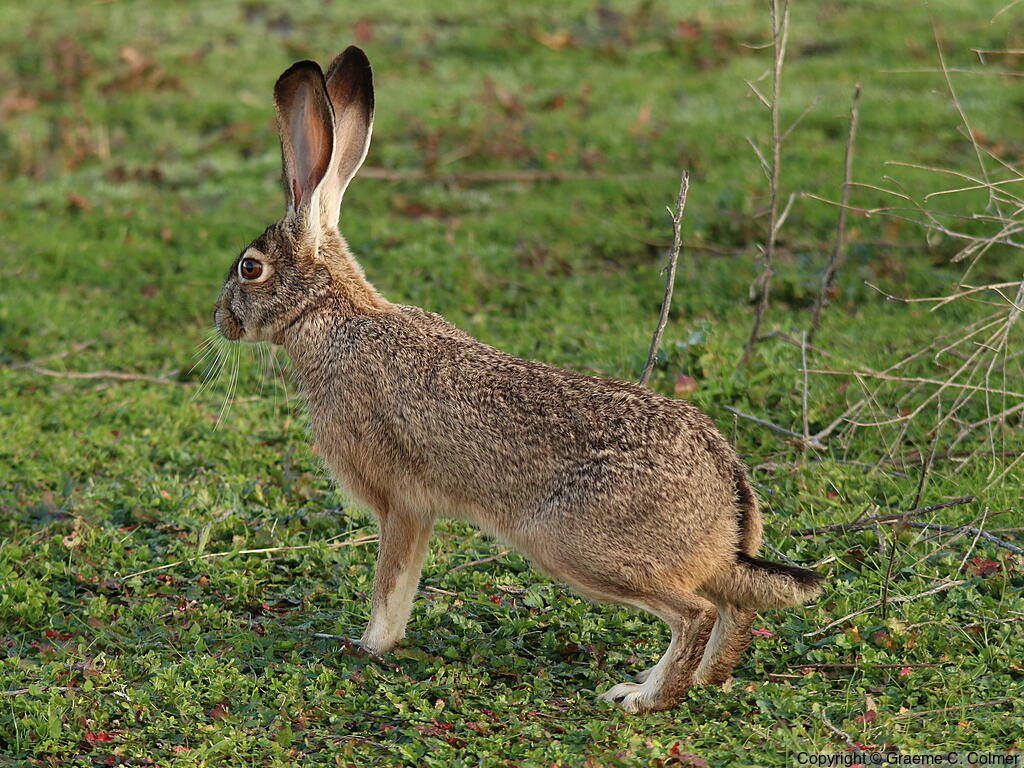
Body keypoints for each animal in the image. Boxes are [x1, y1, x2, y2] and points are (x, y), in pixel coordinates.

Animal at [213, 46, 823, 714]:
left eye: (250, 268)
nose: (220, 321)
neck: (331, 314)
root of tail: (728, 494)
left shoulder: (400, 501)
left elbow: (391, 585)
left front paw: (367, 646)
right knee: (734, 610)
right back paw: (696, 682)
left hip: (576, 548)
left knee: (695, 613)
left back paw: (640, 698)